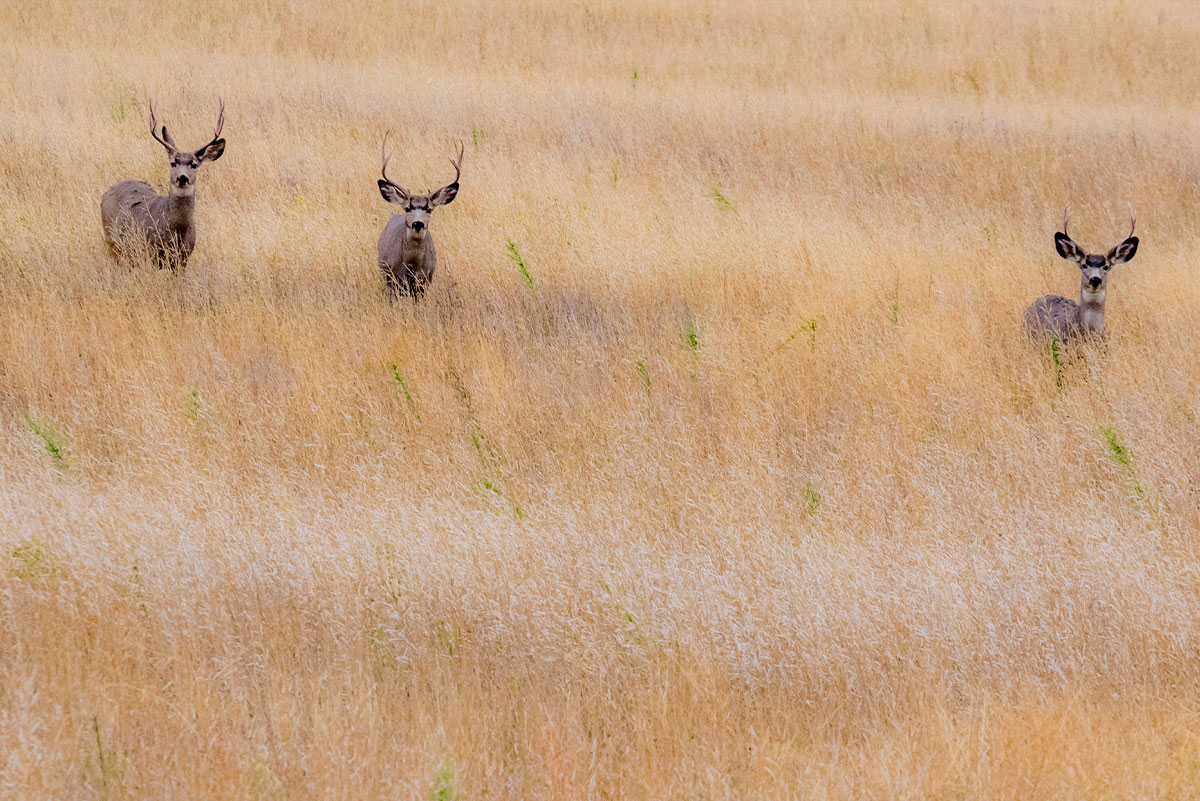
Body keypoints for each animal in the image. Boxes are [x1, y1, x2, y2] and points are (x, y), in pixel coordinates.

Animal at [100, 100, 226, 271]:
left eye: (194, 164)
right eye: (173, 163)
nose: (182, 177)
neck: (176, 230)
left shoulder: (182, 259)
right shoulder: (151, 252)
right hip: (112, 242)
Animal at [376, 132, 463, 298]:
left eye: (429, 209)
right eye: (407, 208)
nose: (418, 224)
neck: (411, 265)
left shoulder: (424, 281)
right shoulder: (392, 280)